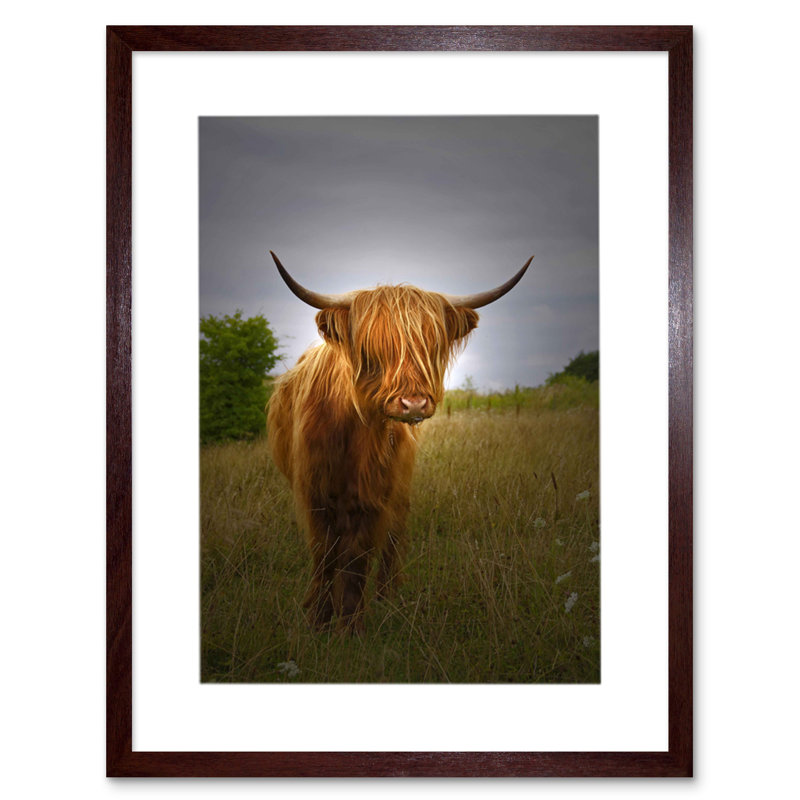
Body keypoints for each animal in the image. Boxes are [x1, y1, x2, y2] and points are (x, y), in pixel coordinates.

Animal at [267, 251, 532, 633]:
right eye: (372, 347)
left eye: (431, 346)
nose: (414, 404)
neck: (352, 435)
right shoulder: (314, 491)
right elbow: (325, 555)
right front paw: (319, 619)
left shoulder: (374, 494)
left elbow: (357, 557)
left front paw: (351, 624)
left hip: (400, 488)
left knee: (393, 537)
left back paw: (387, 596)